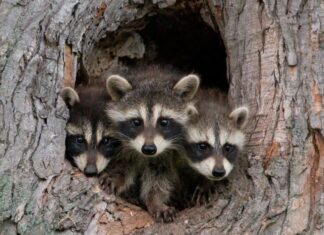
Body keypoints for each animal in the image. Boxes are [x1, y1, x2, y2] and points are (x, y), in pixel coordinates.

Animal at [104, 65, 200, 222]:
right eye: (136, 122)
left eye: (164, 122)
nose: (149, 149)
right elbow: (124, 162)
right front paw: (116, 175)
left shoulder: (166, 153)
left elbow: (158, 177)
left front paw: (155, 201)